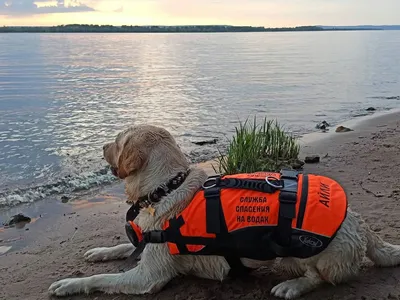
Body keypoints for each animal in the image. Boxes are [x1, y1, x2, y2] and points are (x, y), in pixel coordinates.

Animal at [48, 123, 400, 298]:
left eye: (118, 141)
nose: (101, 147)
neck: (166, 186)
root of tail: (360, 223)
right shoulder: (146, 242)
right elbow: (122, 246)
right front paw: (101, 251)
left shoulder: (148, 277)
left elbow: (102, 279)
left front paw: (69, 285)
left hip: (297, 253)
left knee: (318, 277)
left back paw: (292, 287)